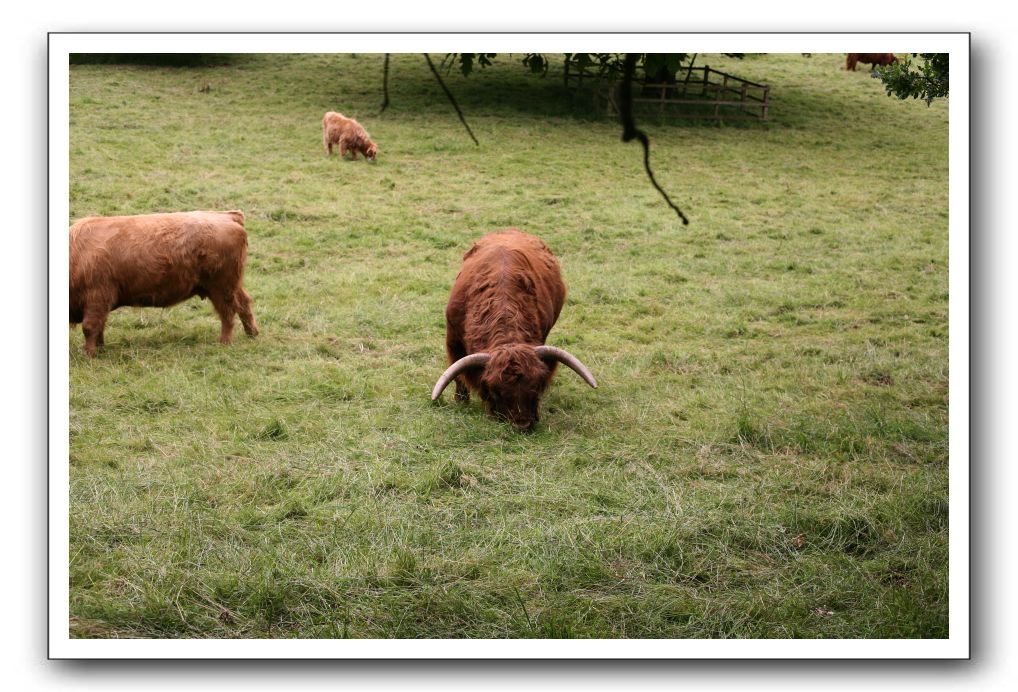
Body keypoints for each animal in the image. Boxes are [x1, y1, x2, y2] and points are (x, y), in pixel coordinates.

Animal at [68, 210, 258, 356]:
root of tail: (228, 216)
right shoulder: (99, 302)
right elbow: (99, 326)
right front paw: (99, 349)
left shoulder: (97, 298)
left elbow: (90, 327)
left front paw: (89, 354)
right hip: (230, 286)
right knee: (243, 304)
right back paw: (252, 334)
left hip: (221, 288)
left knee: (228, 313)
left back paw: (225, 342)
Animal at [429, 229, 594, 429]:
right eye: (495, 390)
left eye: (537, 386)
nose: (522, 424)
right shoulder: (453, 339)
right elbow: (459, 373)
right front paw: (461, 402)